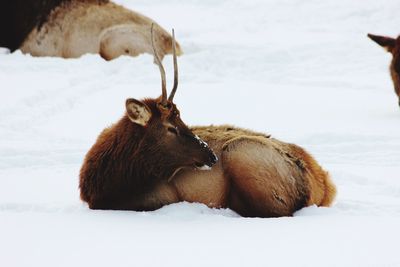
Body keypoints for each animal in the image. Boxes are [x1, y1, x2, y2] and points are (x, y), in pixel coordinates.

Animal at [79, 28, 336, 219]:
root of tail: (324, 186)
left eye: (181, 121)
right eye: (171, 127)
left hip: (241, 152)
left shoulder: (162, 196)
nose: (211, 156)